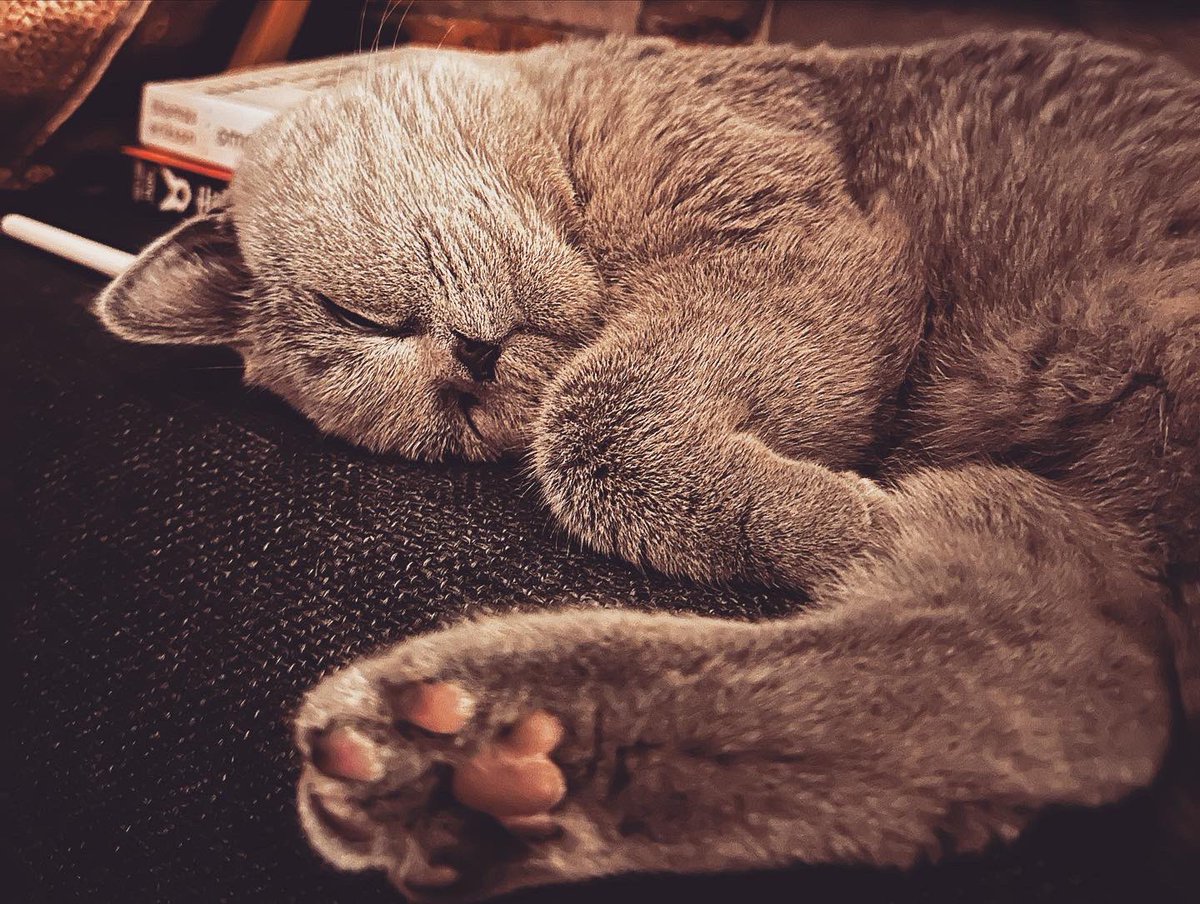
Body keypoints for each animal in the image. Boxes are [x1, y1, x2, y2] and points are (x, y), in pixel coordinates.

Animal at [96, 31, 1200, 897]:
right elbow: (582, 423)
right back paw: (470, 762)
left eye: (357, 315)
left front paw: (849, 518)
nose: (469, 368)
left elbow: (590, 413)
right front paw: (849, 520)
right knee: (1071, 683)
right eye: (454, 425)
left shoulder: (790, 222)